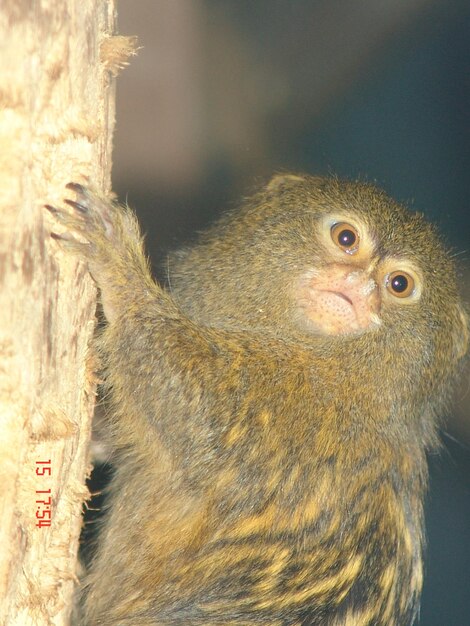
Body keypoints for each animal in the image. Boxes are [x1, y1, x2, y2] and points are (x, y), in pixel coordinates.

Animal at [45, 173, 466, 624]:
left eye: (399, 285)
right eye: (346, 238)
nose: (359, 285)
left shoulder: (295, 416)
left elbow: (197, 411)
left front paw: (118, 262)